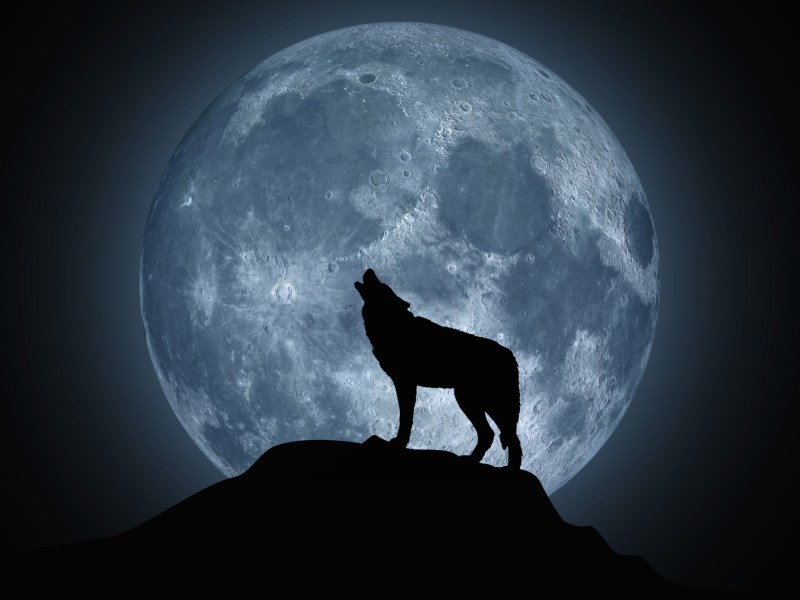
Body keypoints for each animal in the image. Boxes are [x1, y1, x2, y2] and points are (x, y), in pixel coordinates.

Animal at [354, 269, 522, 468]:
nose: (370, 270)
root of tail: (510, 355)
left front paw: (399, 443)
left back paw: (509, 469)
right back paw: (472, 460)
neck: (395, 325)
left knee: (510, 437)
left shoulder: (405, 383)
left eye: (382, 285)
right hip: (471, 399)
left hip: (487, 401)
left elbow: (406, 418)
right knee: (492, 434)